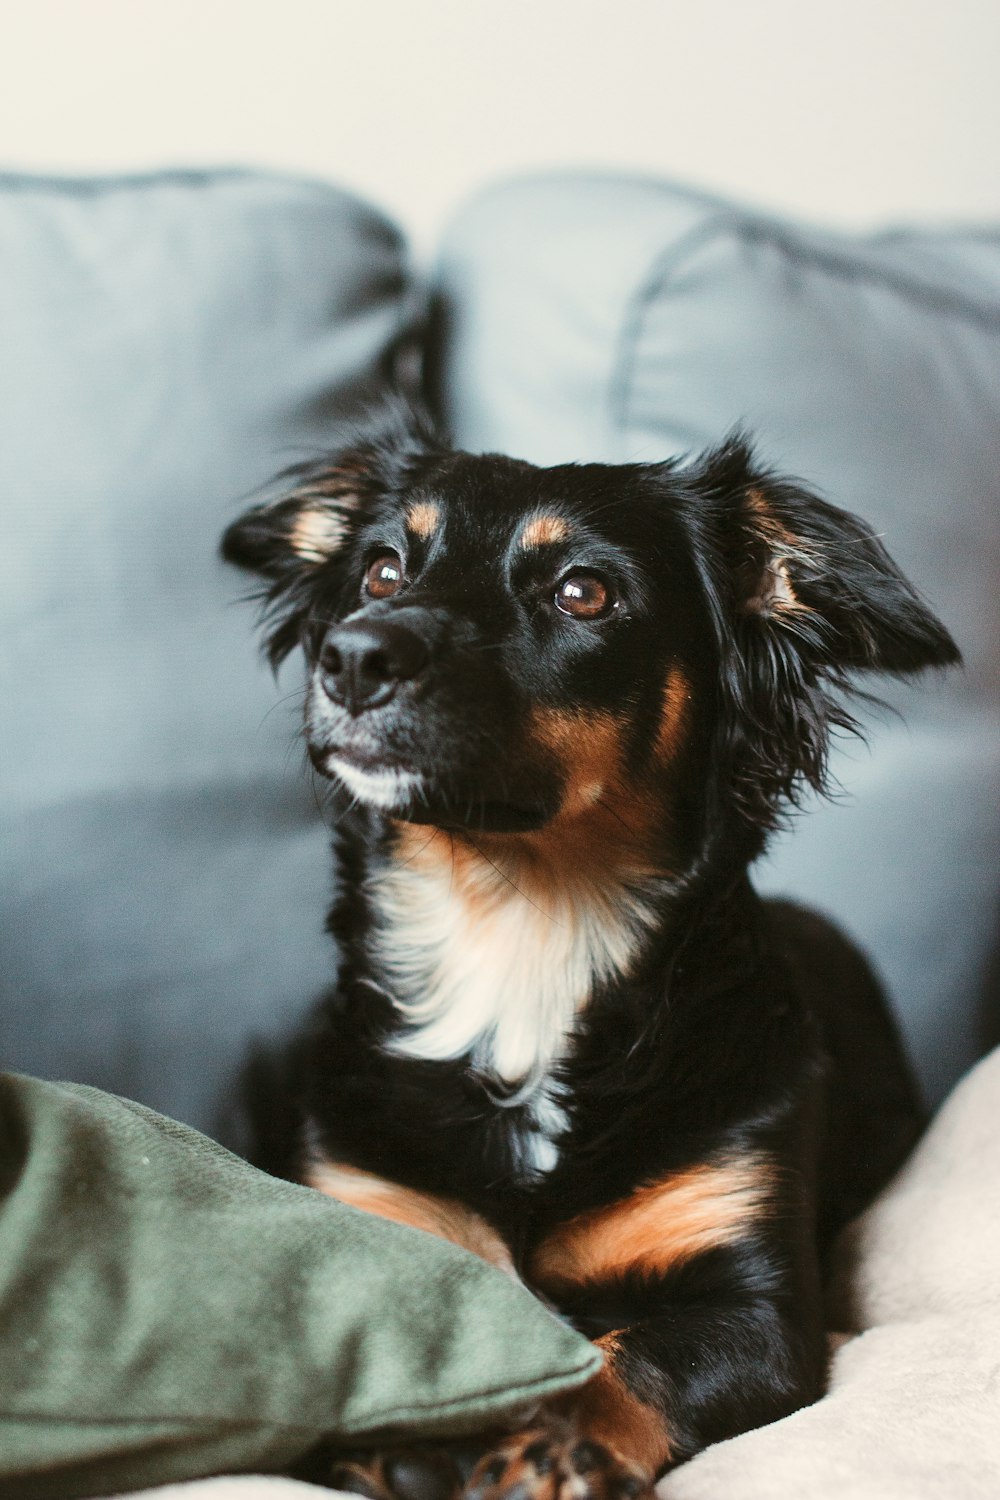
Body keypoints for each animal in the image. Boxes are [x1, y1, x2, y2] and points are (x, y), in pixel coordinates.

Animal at [220, 405, 959, 1494]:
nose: (353, 659)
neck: (520, 933)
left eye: (583, 592)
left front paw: (554, 1443)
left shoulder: (759, 1310)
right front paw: (408, 1432)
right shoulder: (369, 1216)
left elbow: (632, 1358)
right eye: (383, 572)